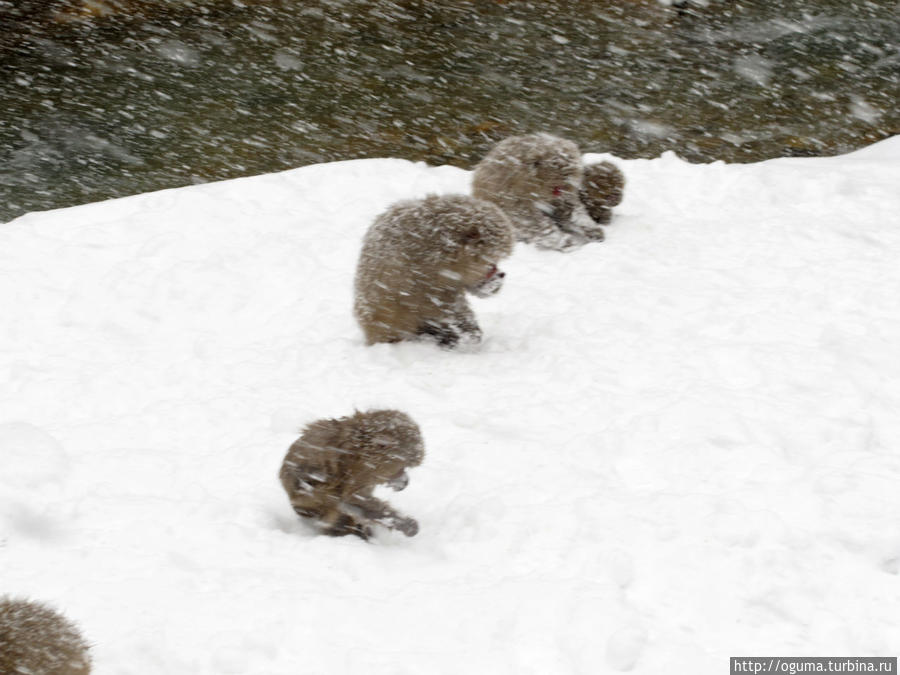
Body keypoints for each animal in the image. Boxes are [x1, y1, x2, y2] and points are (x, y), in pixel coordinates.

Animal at [278, 410, 426, 540]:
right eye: (402, 467)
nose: (405, 482)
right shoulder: (362, 471)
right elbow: (352, 499)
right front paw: (406, 525)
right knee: (326, 493)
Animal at [472, 132, 604, 251]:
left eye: (567, 179)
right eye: (556, 180)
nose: (559, 191)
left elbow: (568, 208)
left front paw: (590, 228)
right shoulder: (512, 188)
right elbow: (524, 216)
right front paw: (563, 241)